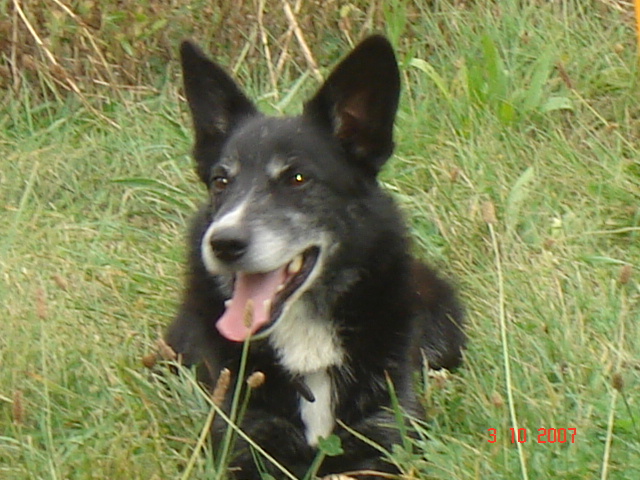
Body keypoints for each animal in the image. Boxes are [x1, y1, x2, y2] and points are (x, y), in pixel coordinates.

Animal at [165, 35, 464, 478]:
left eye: (297, 178)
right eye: (220, 181)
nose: (223, 243)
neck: (304, 333)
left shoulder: (389, 435)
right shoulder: (243, 439)